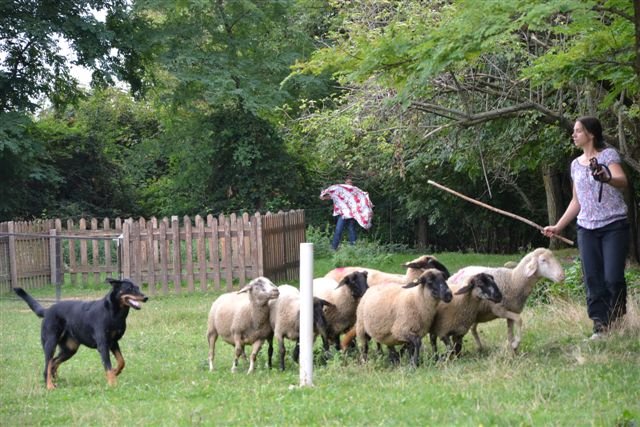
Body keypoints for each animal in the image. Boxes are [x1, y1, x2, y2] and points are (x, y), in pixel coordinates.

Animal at [14, 280, 147, 390]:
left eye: (137, 287)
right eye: (129, 288)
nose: (146, 297)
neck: (113, 313)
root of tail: (46, 311)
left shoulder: (113, 342)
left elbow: (121, 361)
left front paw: (115, 372)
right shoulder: (103, 345)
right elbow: (108, 366)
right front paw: (112, 384)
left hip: (70, 349)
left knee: (53, 363)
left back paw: (54, 379)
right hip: (50, 344)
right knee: (48, 364)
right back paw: (50, 385)